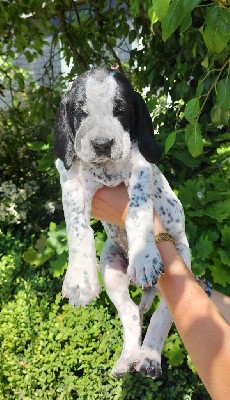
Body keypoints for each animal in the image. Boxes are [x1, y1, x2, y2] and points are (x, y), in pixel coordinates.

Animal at [54, 68, 190, 378]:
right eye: (79, 112)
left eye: (120, 110)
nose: (102, 145)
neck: (107, 171)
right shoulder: (71, 181)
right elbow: (76, 227)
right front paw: (79, 278)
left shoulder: (140, 169)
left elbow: (138, 211)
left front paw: (143, 258)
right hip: (112, 270)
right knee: (130, 314)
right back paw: (128, 359)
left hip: (181, 269)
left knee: (162, 315)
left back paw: (149, 357)